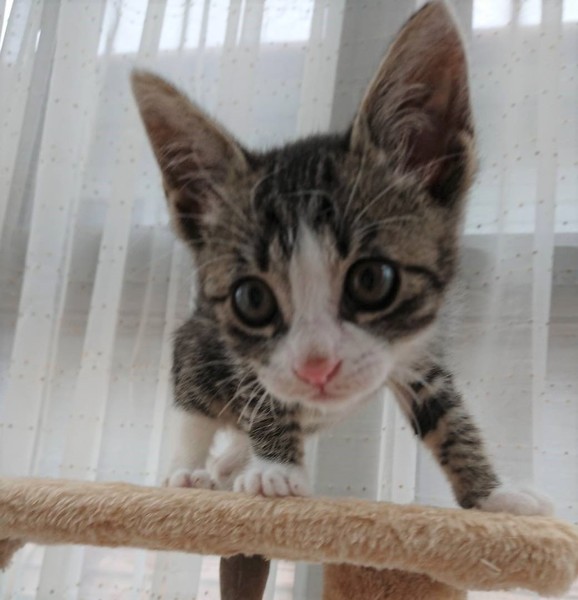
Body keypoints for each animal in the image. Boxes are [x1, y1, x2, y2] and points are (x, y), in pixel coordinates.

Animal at [131, 1, 552, 515]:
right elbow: (259, 397)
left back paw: (229, 463)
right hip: (198, 346)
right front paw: (276, 470)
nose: (317, 368)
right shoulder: (241, 356)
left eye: (372, 280)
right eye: (252, 299)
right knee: (193, 411)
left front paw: (493, 495)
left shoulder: (418, 349)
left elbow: (449, 418)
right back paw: (191, 471)